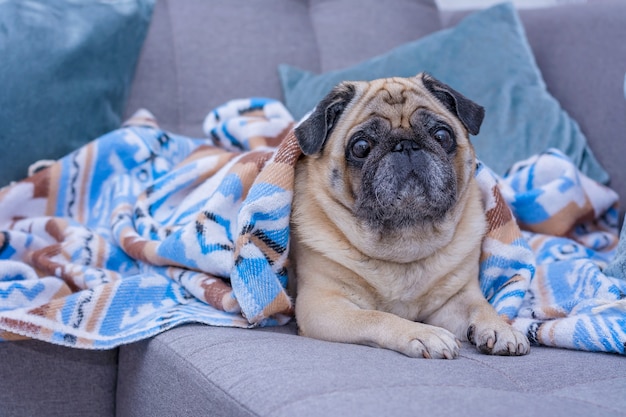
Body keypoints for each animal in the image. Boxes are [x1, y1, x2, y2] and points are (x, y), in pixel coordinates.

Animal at [288, 72, 528, 358]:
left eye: (442, 135)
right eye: (361, 147)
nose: (406, 145)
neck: (406, 237)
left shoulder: (455, 299)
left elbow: (481, 307)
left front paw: (501, 328)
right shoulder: (322, 305)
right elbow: (376, 316)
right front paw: (424, 334)